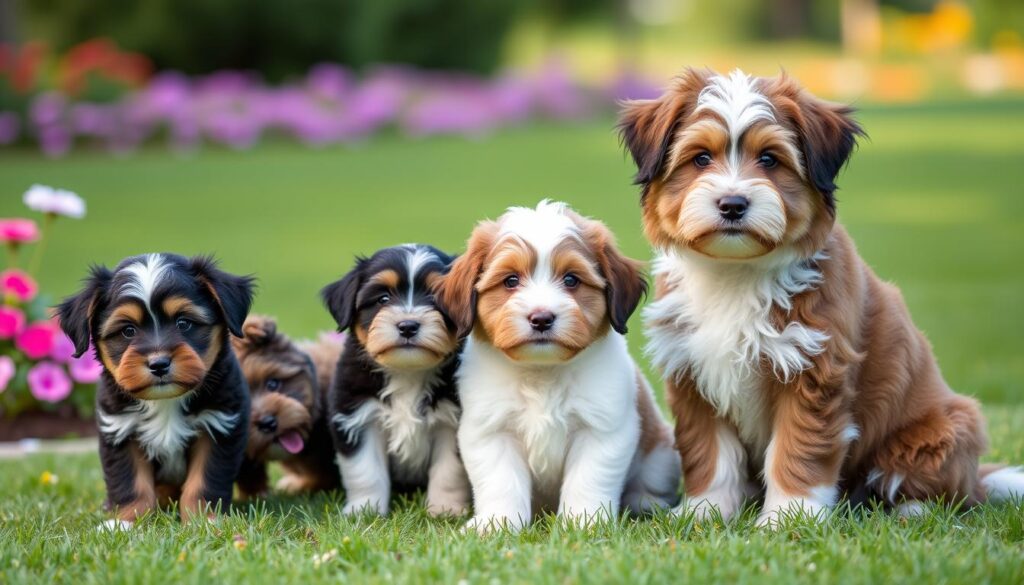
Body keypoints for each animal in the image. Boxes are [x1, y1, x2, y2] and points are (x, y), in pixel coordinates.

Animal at [57, 254, 254, 528]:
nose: (159, 363)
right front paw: (124, 523)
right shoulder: (121, 430)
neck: (166, 401)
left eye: (184, 323)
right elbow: (131, 485)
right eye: (128, 330)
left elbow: (204, 481)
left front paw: (204, 520)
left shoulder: (219, 426)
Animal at [321, 242, 468, 516]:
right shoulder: (358, 416)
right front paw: (365, 510)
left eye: (435, 299)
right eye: (383, 299)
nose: (408, 326)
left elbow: (449, 471)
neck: (407, 371)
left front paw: (445, 510)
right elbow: (365, 470)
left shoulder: (451, 422)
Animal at [434, 202, 679, 536]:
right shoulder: (491, 431)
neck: (543, 372)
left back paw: (645, 503)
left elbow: (587, 480)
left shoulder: (601, 429)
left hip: (660, 455)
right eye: (511, 281)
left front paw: (583, 523)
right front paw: (496, 525)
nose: (541, 318)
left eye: (571, 280)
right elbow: (501, 483)